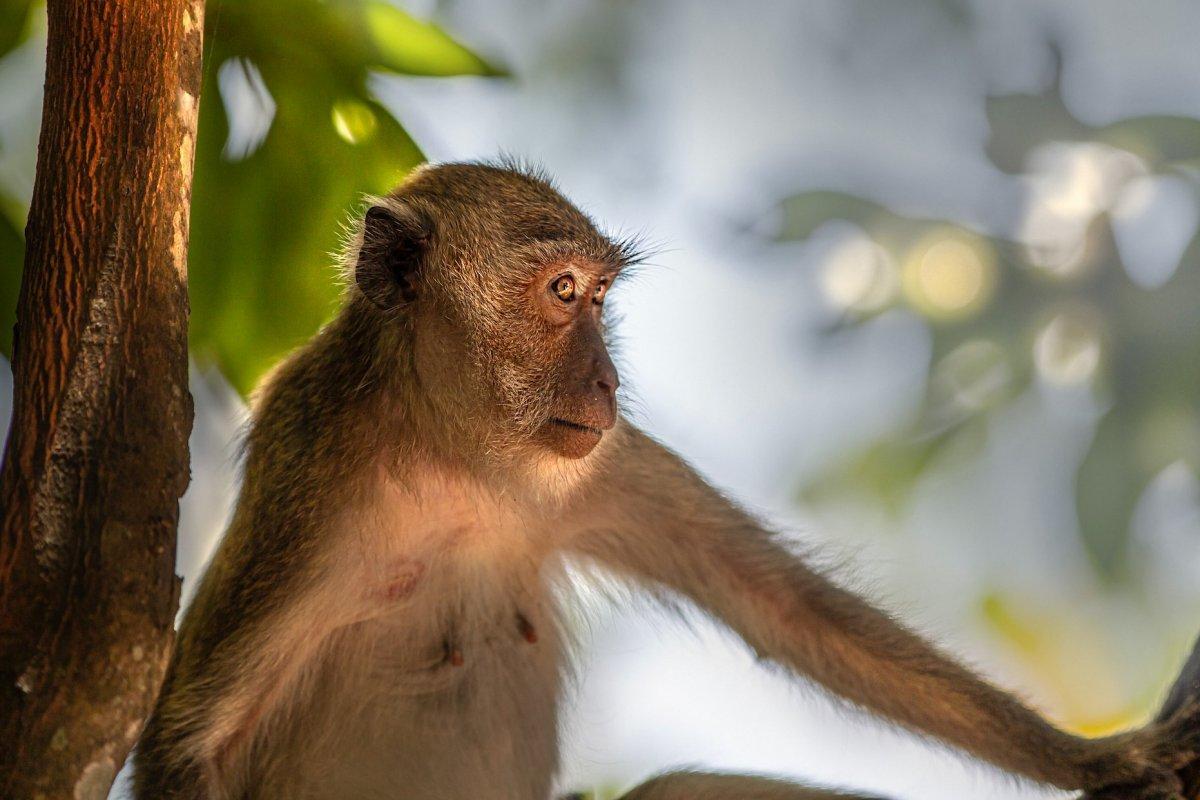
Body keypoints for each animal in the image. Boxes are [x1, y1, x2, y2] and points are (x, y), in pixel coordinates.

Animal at [131, 163, 1200, 800]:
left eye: (601, 298)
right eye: (563, 293)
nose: (608, 380)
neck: (453, 457)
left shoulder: (595, 467)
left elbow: (784, 607)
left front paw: (1097, 758)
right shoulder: (315, 476)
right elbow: (190, 740)